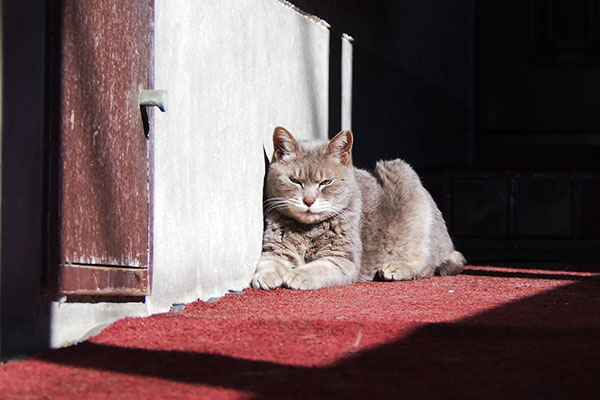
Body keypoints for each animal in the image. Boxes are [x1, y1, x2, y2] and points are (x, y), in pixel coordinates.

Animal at [251, 126, 466, 290]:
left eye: (326, 182)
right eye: (295, 180)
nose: (309, 201)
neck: (308, 230)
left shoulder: (341, 258)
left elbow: (318, 268)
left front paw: (297, 275)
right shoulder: (277, 249)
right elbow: (269, 262)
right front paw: (266, 276)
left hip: (405, 182)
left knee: (427, 264)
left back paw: (395, 269)